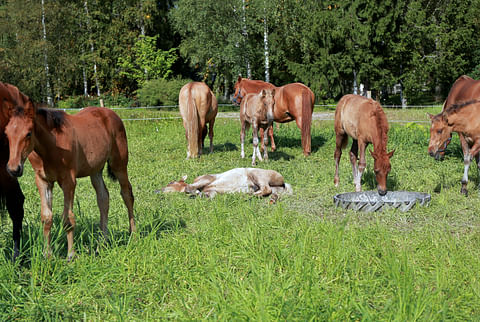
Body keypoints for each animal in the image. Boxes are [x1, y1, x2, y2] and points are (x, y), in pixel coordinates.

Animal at [5, 105, 137, 260]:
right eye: (6, 134)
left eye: (28, 133)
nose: (14, 169)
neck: (51, 147)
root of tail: (110, 112)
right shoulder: (43, 180)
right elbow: (46, 217)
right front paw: (47, 255)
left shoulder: (69, 181)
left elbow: (68, 219)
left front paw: (71, 255)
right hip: (95, 170)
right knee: (103, 198)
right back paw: (101, 243)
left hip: (119, 164)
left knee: (127, 194)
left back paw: (133, 234)